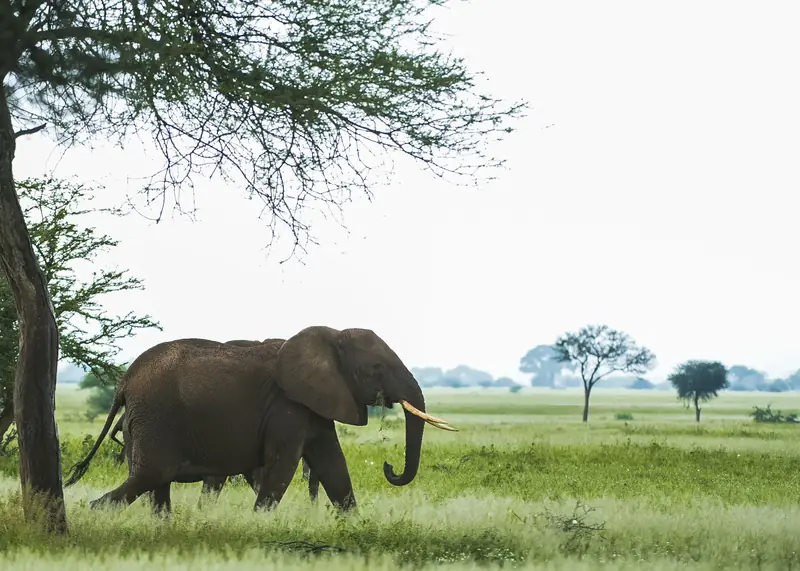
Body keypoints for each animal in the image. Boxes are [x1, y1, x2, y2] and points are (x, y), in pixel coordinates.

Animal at [65, 326, 456, 515]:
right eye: (375, 368)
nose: (390, 468)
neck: (329, 338)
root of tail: (123, 382)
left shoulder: (313, 404)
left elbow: (333, 465)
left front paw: (355, 526)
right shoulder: (287, 405)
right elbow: (282, 466)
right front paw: (259, 523)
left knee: (155, 485)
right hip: (156, 415)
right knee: (151, 476)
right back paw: (92, 514)